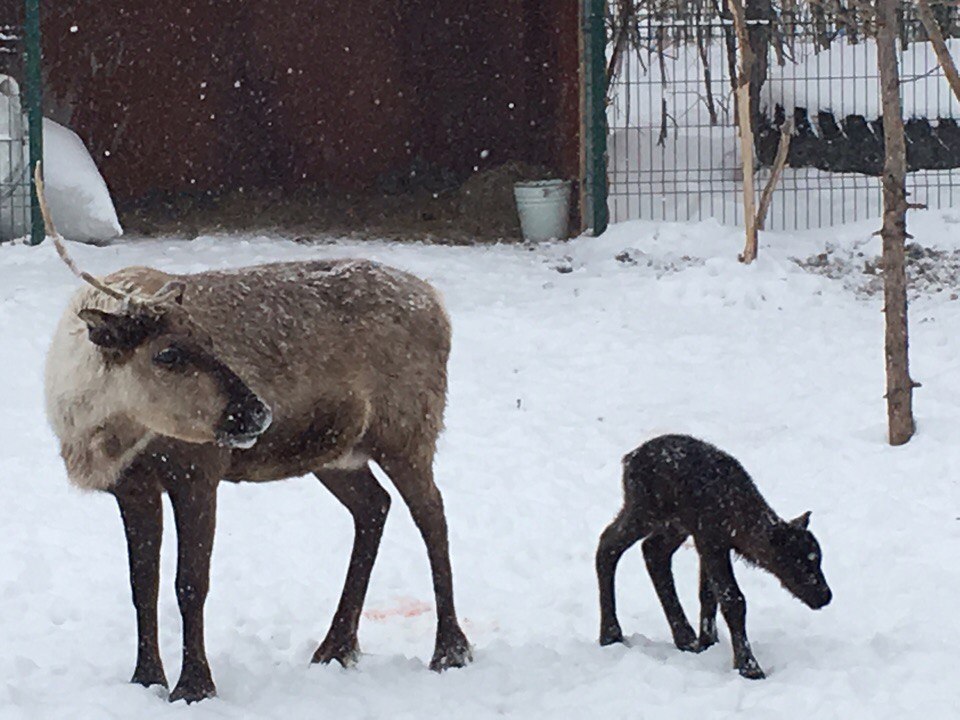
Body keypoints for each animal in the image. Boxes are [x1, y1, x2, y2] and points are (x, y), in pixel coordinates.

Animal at [596, 434, 828, 680]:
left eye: (818, 558)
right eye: (795, 561)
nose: (825, 595)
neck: (736, 519)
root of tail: (628, 459)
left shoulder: (710, 542)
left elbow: (708, 595)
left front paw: (708, 641)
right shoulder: (709, 539)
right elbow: (733, 599)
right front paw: (749, 667)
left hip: (673, 525)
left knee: (652, 550)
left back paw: (685, 638)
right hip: (644, 509)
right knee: (609, 543)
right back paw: (611, 634)